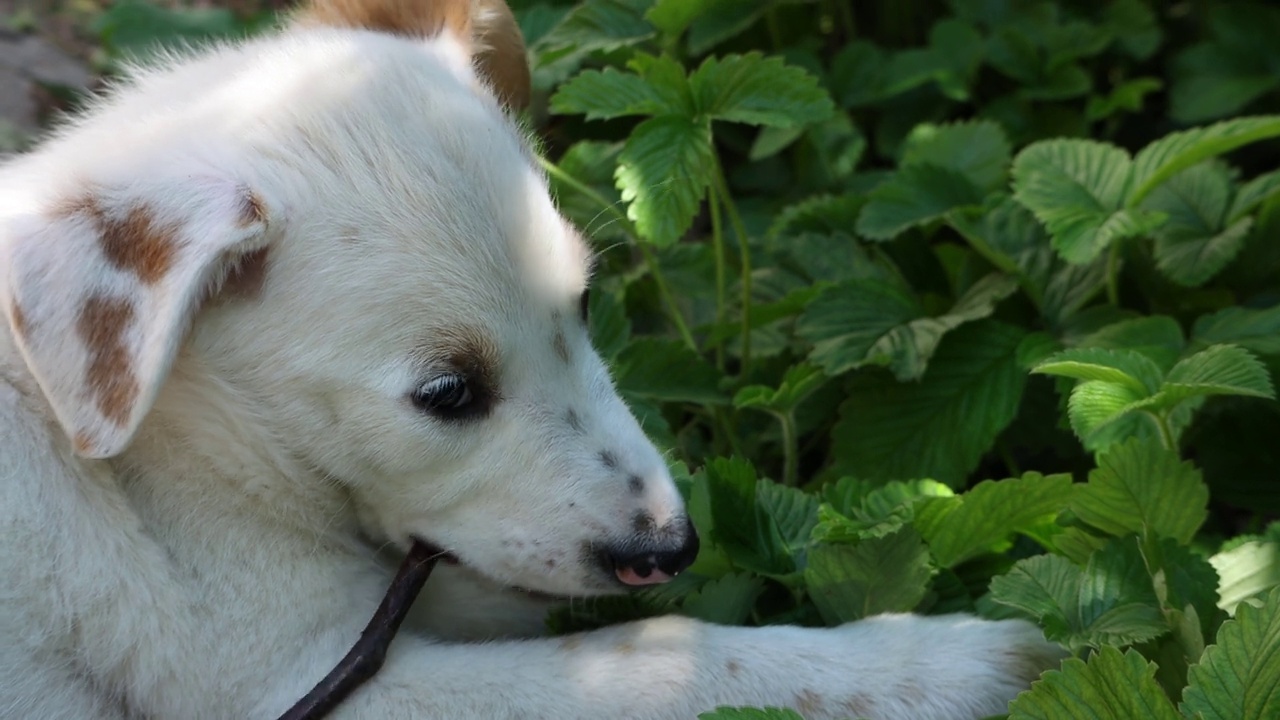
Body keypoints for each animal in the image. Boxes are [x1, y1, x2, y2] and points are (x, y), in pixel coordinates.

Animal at [0, 2, 1059, 712]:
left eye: (583, 303)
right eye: (447, 392)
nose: (671, 548)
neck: (177, 442)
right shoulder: (291, 679)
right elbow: (663, 661)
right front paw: (938, 669)